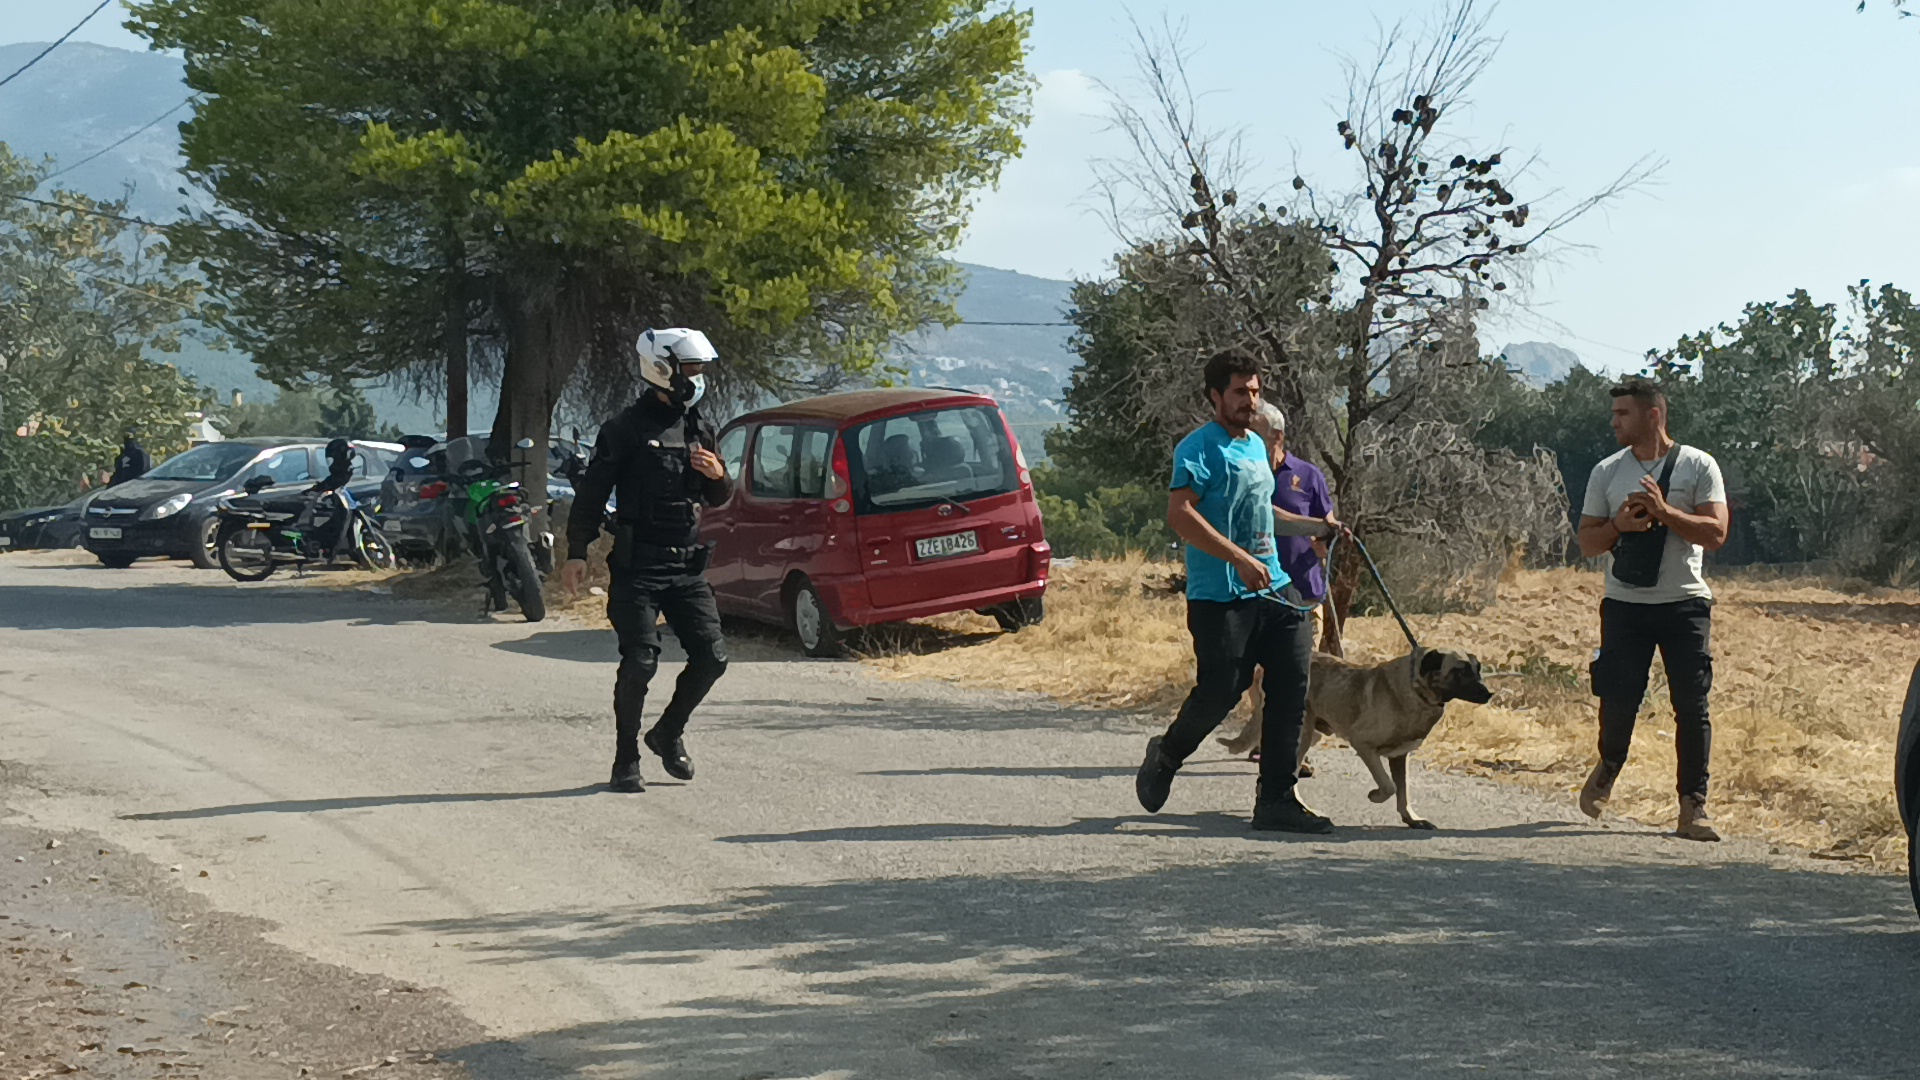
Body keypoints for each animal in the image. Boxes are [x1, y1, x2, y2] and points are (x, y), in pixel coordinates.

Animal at [1221, 641, 1489, 826]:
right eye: (1460, 671)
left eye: (1477, 670)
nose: (1489, 694)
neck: (1416, 689)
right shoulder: (1363, 744)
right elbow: (1390, 786)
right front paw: (1376, 795)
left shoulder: (1399, 757)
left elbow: (1403, 791)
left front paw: (1411, 818)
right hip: (1302, 733)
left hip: (1313, 733)